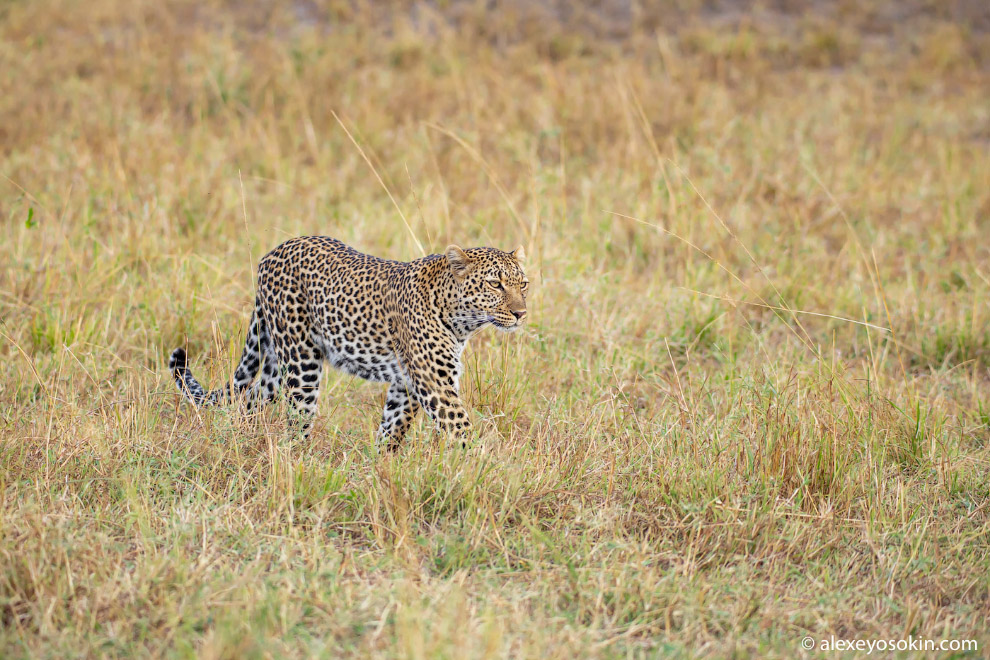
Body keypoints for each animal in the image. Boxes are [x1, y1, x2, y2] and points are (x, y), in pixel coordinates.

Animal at [170, 237, 532, 448]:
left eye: (523, 284)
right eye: (495, 284)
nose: (521, 314)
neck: (462, 321)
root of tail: (274, 252)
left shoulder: (406, 385)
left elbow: (392, 430)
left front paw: (381, 470)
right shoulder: (435, 384)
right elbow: (461, 430)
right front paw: (483, 474)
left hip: (274, 364)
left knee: (249, 401)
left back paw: (236, 441)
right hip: (301, 362)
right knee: (296, 419)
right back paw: (300, 468)